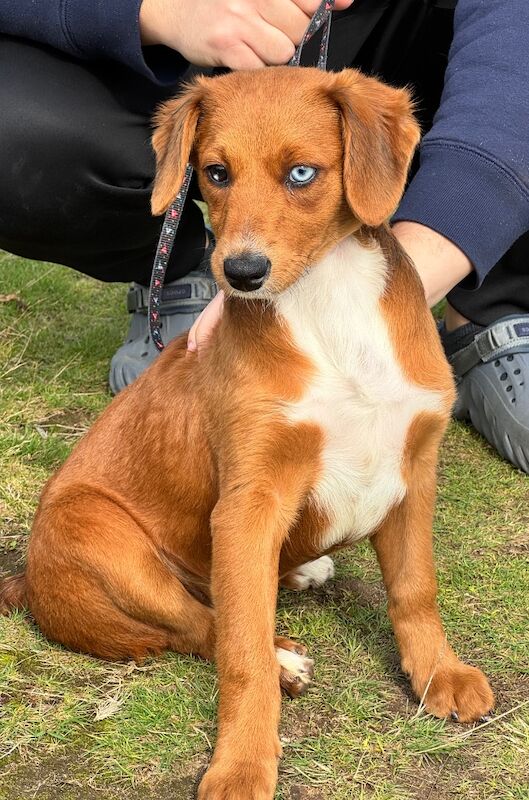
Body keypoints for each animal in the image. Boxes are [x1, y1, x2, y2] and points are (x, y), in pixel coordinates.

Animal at [2, 67, 492, 800]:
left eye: (301, 173)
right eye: (214, 172)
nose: (239, 273)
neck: (327, 301)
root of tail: (27, 581)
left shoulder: (413, 470)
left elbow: (415, 589)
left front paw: (439, 674)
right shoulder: (246, 505)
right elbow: (241, 653)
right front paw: (241, 764)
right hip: (105, 538)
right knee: (197, 622)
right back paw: (282, 657)